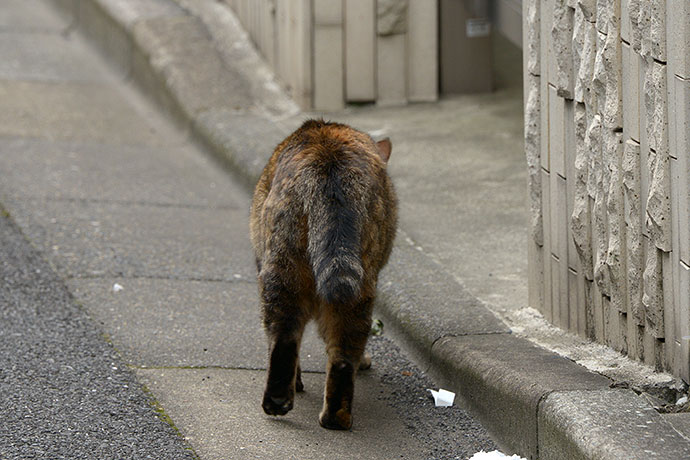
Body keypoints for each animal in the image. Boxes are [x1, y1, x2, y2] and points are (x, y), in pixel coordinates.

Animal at [250, 119, 396, 432]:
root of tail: (329, 169)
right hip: (349, 285)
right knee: (336, 350)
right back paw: (324, 414)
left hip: (283, 270)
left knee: (288, 337)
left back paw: (291, 404)